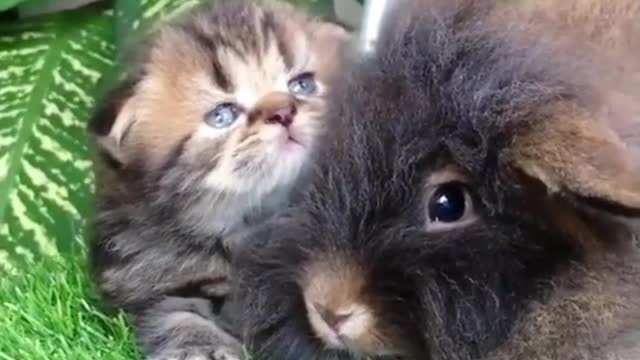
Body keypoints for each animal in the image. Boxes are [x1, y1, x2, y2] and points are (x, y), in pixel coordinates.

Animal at [87, 1, 348, 358]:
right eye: (222, 116)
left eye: (302, 85)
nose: (283, 111)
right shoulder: (152, 280)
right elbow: (175, 316)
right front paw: (204, 347)